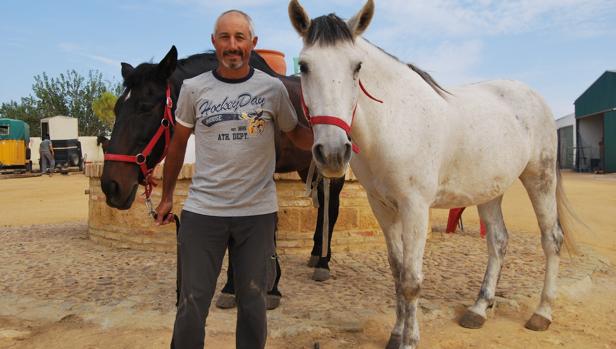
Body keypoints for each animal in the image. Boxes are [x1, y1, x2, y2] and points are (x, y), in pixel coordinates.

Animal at [288, 1, 576, 346]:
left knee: (551, 239)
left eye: (356, 66)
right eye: (305, 66)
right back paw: (479, 309)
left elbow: (412, 280)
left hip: (540, 179)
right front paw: (396, 333)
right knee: (498, 241)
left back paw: (542, 313)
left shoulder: (415, 207)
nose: (332, 153)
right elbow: (397, 272)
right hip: (489, 191)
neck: (394, 121)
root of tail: (534, 96)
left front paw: (410, 340)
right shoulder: (382, 207)